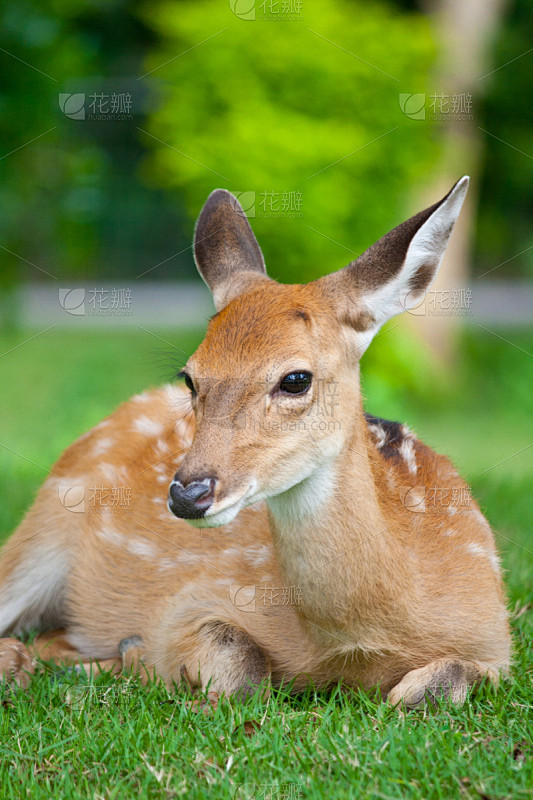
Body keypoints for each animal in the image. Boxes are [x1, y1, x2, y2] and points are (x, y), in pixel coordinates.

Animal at [0, 180, 510, 708]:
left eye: (296, 379)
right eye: (190, 376)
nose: (187, 493)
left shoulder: (497, 640)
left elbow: (439, 687)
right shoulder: (188, 602)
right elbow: (241, 666)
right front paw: (143, 657)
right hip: (40, 531)